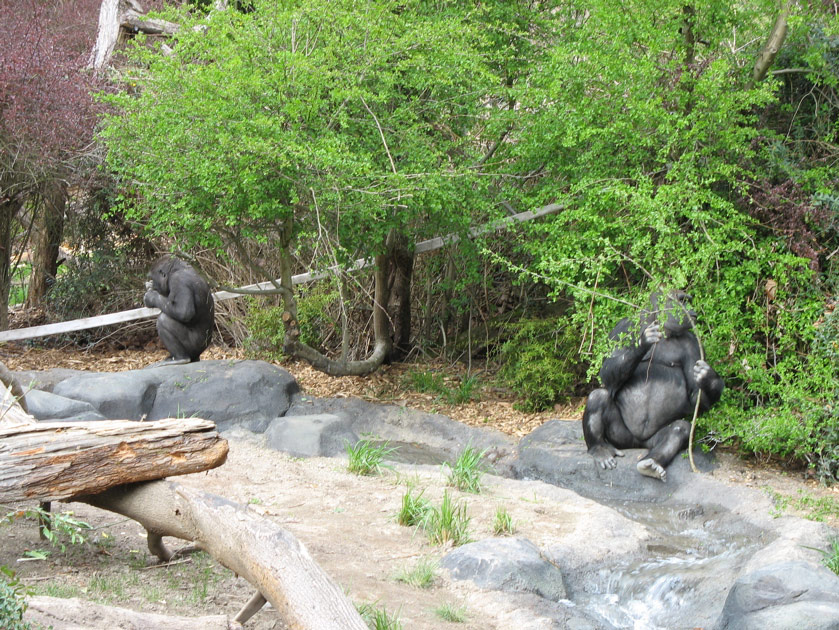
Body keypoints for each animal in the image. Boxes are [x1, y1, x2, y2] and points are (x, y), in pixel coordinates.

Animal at [584, 292, 720, 484]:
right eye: (682, 300)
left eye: (688, 300)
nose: (691, 310)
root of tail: (636, 445)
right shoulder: (622, 327)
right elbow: (607, 372)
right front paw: (644, 341)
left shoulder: (692, 343)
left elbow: (695, 395)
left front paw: (709, 378)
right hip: (619, 438)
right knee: (598, 396)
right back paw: (599, 449)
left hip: (649, 442)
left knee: (679, 429)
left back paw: (652, 463)